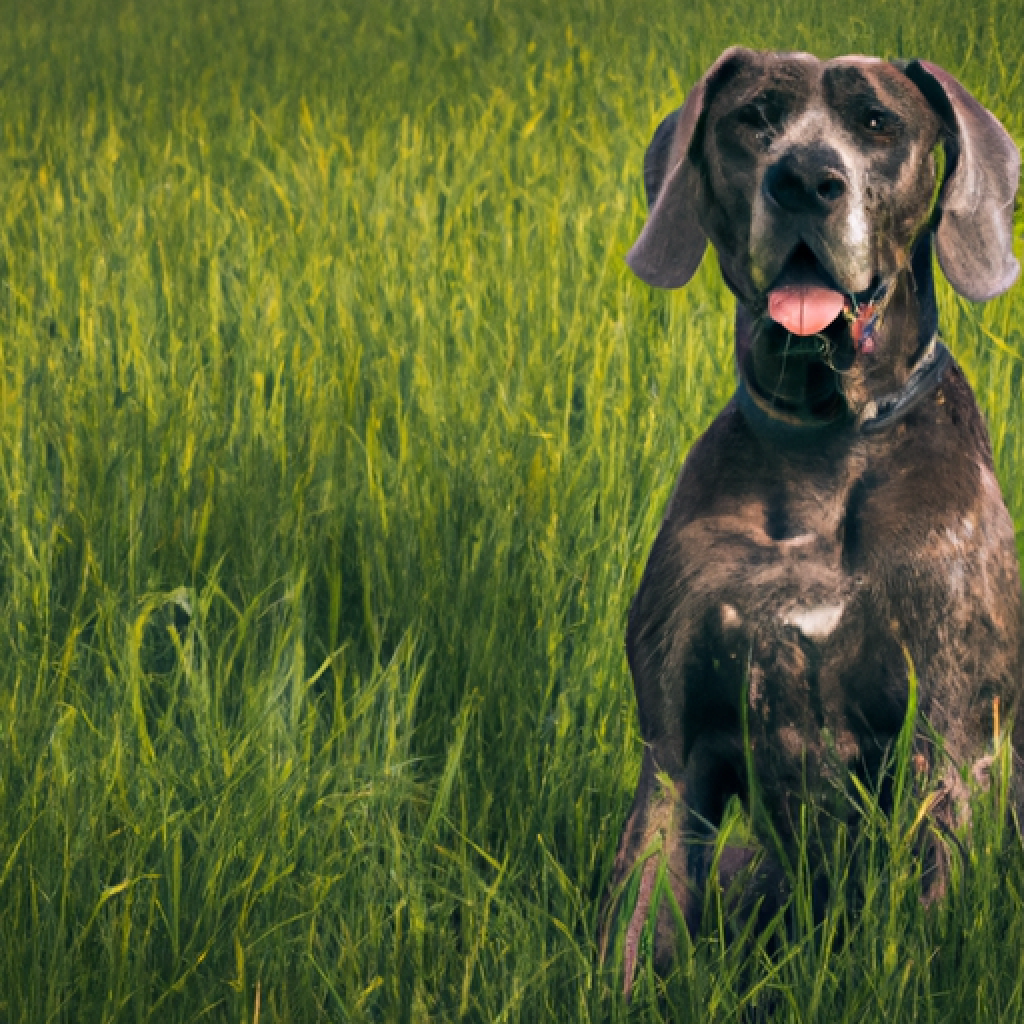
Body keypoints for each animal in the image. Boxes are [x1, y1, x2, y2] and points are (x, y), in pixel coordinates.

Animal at [602, 46, 1019, 991]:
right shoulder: (674, 752)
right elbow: (633, 931)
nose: (804, 180)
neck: (824, 450)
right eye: (754, 118)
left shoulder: (952, 742)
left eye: (877, 123)